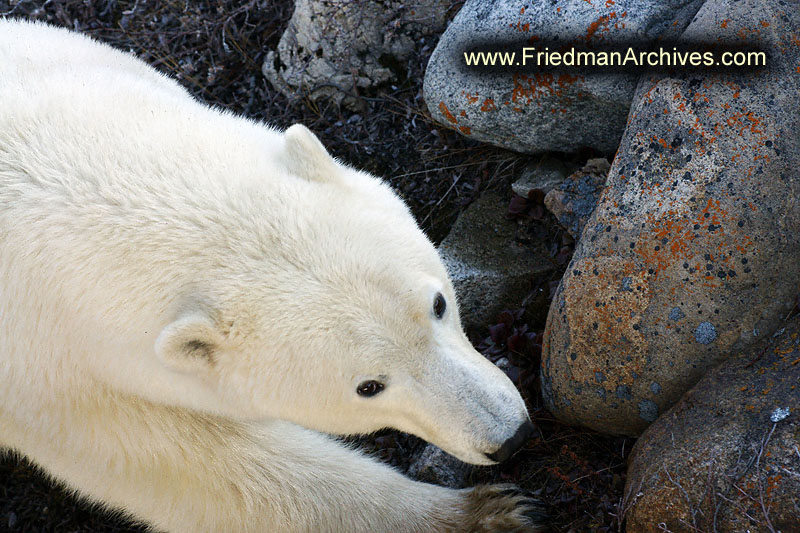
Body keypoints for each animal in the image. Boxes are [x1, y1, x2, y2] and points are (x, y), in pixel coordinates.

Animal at [0, 19, 544, 532]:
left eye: (438, 304)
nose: (510, 437)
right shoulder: (44, 375)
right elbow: (178, 463)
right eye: (369, 386)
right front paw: (482, 513)